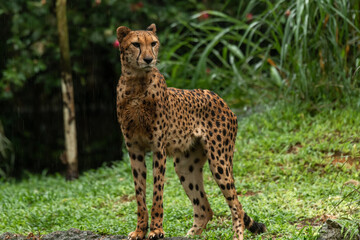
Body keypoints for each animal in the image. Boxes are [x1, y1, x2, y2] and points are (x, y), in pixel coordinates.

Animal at [116, 23, 268, 240]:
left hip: (219, 160)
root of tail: (219, 97)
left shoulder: (158, 148)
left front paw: (156, 230)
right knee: (205, 208)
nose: (148, 59)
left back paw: (237, 235)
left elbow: (157, 193)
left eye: (153, 43)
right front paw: (140, 230)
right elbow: (139, 194)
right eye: (136, 44)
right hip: (185, 165)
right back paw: (193, 233)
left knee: (236, 206)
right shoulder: (134, 148)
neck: (136, 83)